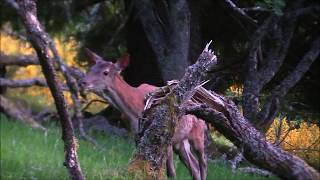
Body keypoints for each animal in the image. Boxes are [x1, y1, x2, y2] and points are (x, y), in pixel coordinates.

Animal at [80, 48, 208, 179]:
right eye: (91, 69)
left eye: (105, 72)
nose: (82, 82)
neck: (134, 110)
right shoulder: (136, 134)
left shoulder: (165, 132)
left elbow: (170, 171)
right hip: (181, 142)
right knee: (194, 166)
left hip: (198, 133)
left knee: (202, 162)